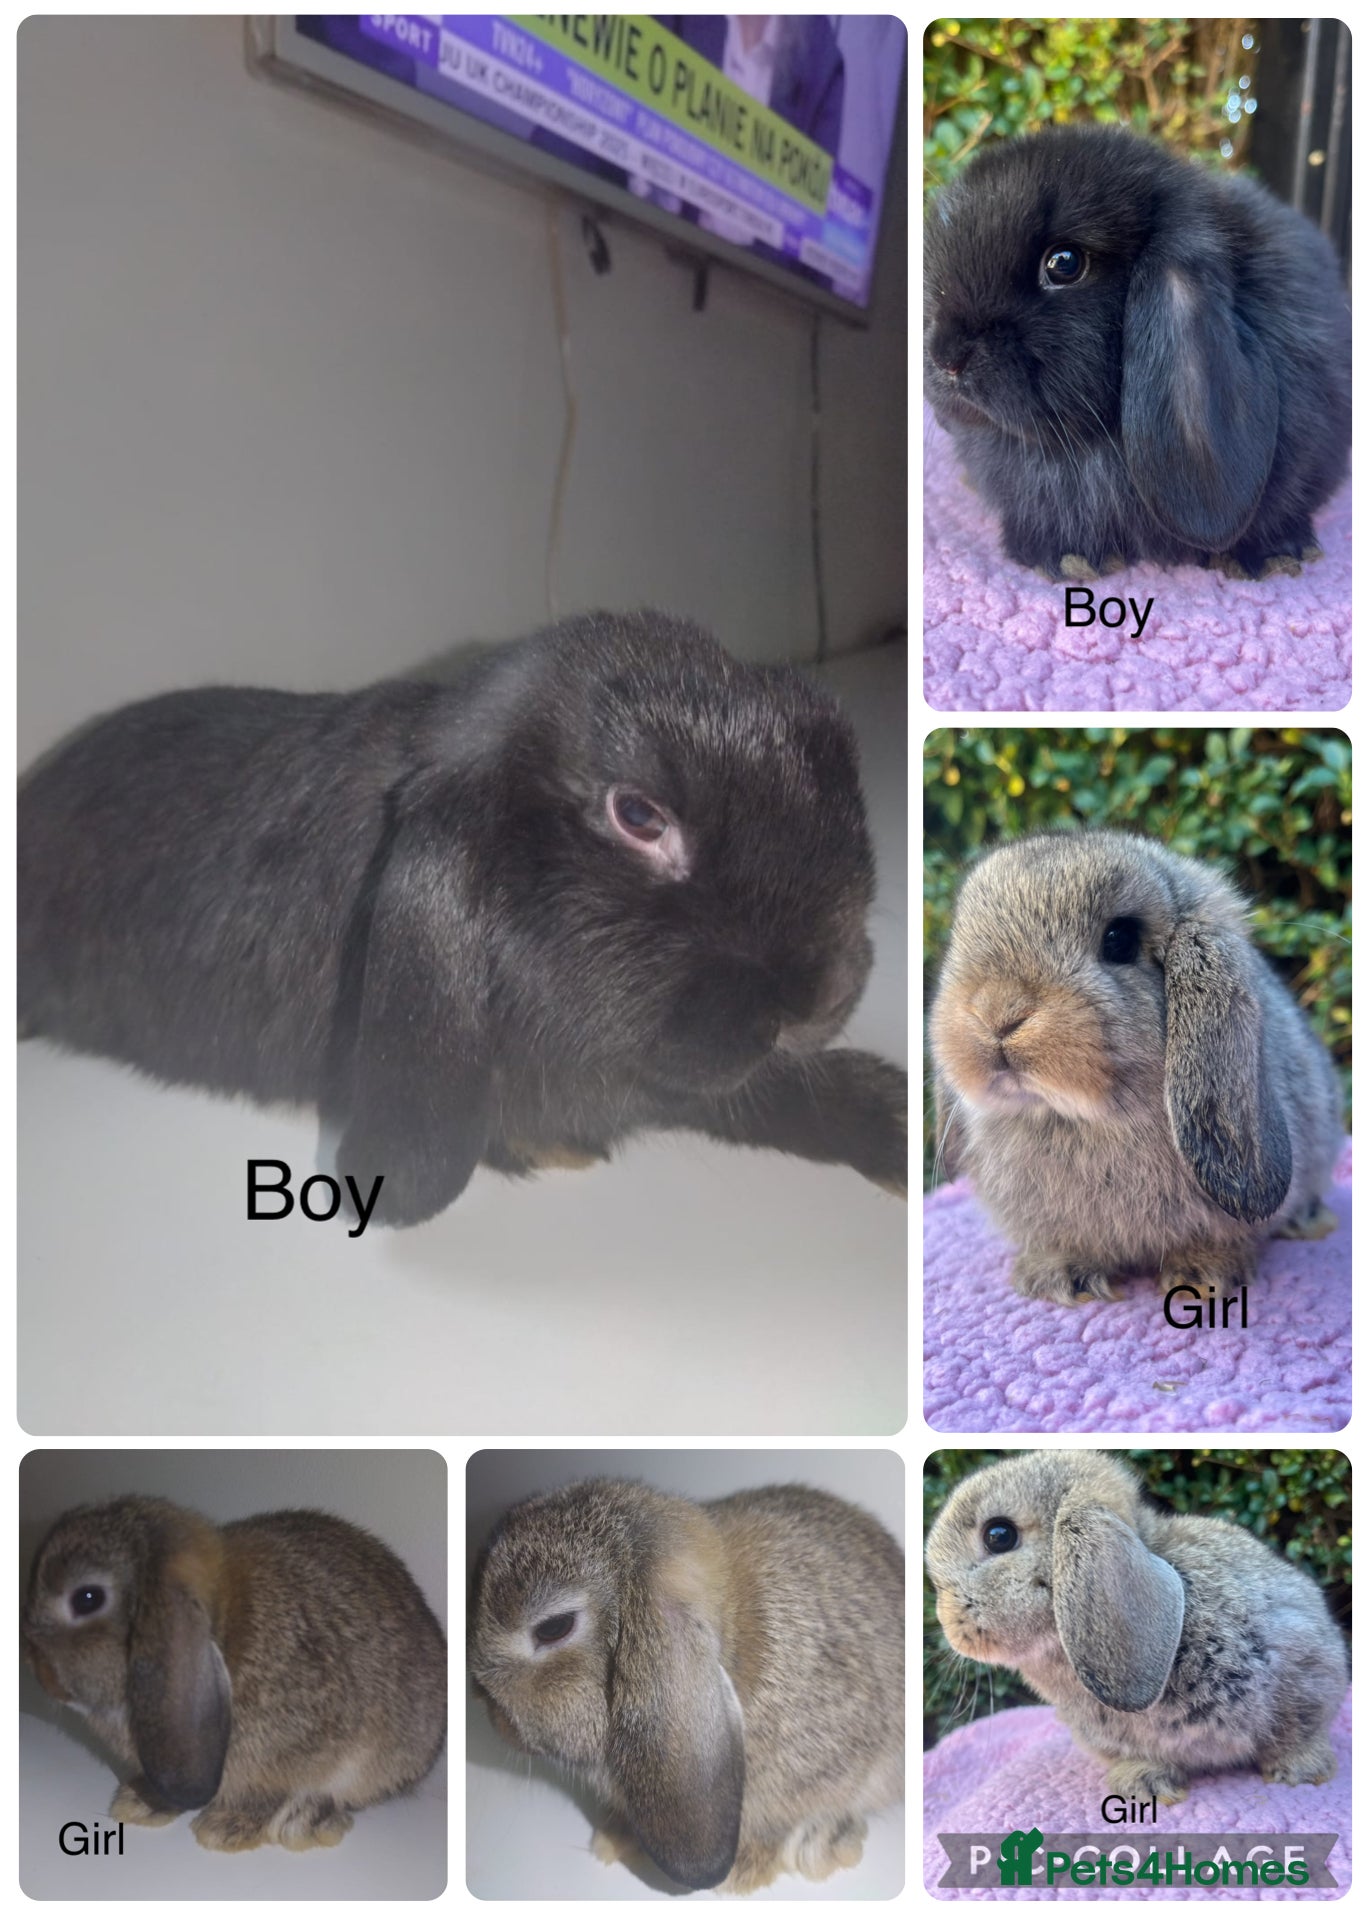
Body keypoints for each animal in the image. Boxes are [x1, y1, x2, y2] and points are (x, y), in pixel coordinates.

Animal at [23, 1496, 447, 1851]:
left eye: (87, 1598)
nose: (42, 1676)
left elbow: (267, 1793)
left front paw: (225, 1828)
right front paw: (141, 1804)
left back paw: (306, 1823)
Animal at [928, 829, 1343, 1306]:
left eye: (1119, 940)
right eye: (961, 932)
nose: (997, 1013)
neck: (1076, 1118)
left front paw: (1203, 1277)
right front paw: (1058, 1279)